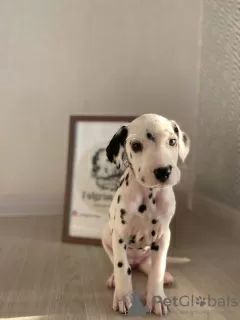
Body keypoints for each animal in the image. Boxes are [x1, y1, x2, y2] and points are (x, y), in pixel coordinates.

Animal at [100, 113, 190, 316]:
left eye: (172, 141)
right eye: (136, 146)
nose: (163, 171)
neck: (149, 195)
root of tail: (136, 261)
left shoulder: (163, 237)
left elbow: (157, 269)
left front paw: (156, 298)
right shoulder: (119, 236)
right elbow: (121, 267)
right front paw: (123, 296)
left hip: (148, 254)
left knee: (148, 266)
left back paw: (165, 276)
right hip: (106, 236)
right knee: (119, 263)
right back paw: (113, 278)